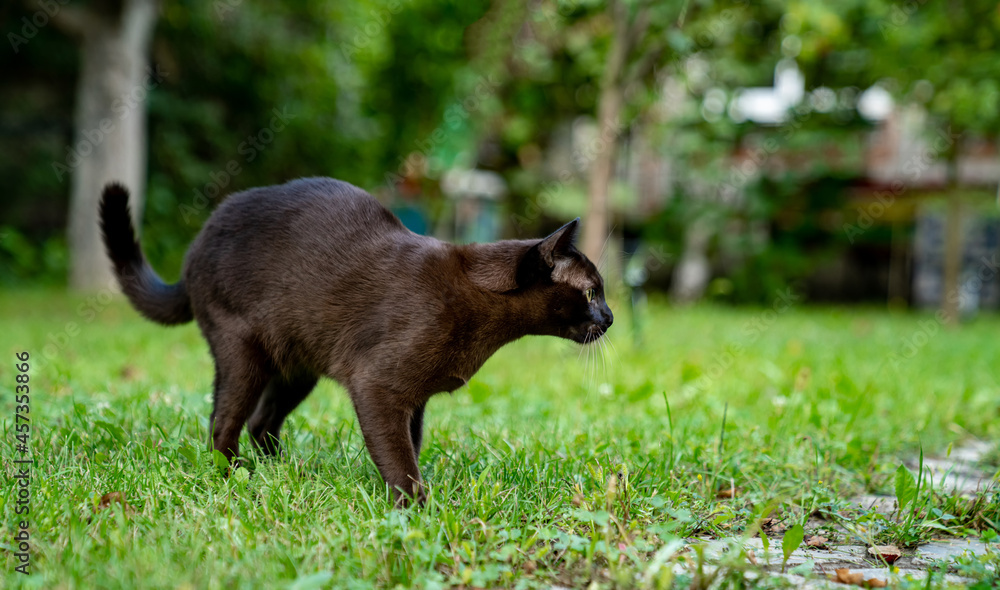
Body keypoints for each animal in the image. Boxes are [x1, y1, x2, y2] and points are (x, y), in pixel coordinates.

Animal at [103, 176, 616, 504]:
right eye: (592, 292)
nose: (610, 318)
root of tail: (196, 245)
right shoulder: (378, 387)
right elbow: (398, 458)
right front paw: (417, 509)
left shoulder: (414, 401)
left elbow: (410, 446)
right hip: (243, 353)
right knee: (222, 425)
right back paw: (237, 477)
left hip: (297, 369)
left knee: (261, 422)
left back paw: (284, 472)